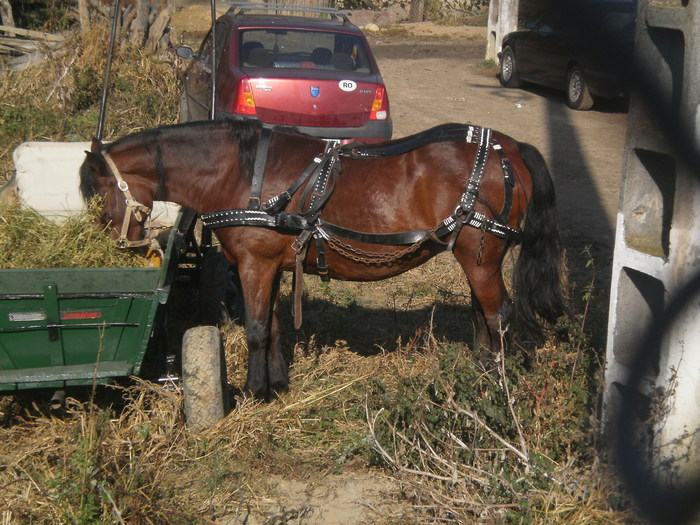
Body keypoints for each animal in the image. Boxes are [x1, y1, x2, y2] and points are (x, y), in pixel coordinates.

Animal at [80, 118, 564, 398]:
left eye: (96, 191)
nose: (116, 244)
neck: (241, 174)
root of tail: (509, 147)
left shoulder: (254, 266)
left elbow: (256, 330)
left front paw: (253, 392)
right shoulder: (271, 265)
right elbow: (275, 326)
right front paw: (277, 384)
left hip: (480, 258)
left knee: (499, 315)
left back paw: (497, 387)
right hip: (476, 257)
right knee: (482, 314)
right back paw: (480, 374)